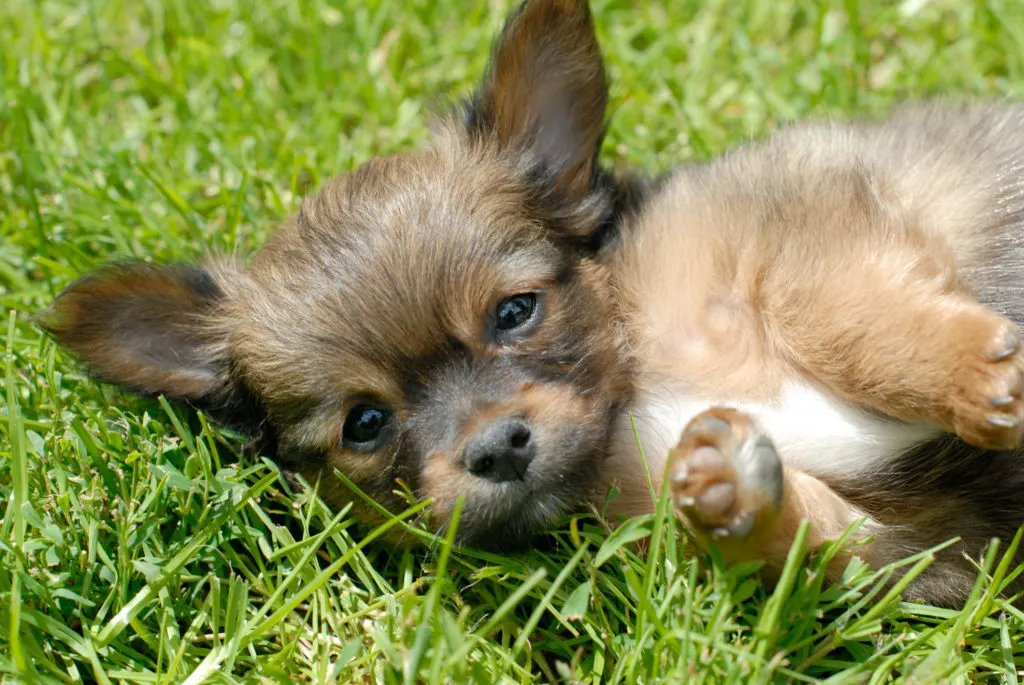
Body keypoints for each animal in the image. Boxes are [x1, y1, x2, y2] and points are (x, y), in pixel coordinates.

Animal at [44, 0, 1024, 602]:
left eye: (515, 311)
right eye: (366, 423)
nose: (496, 447)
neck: (637, 383)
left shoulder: (797, 224)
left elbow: (846, 317)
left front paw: (972, 375)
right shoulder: (925, 544)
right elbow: (811, 537)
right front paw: (730, 490)